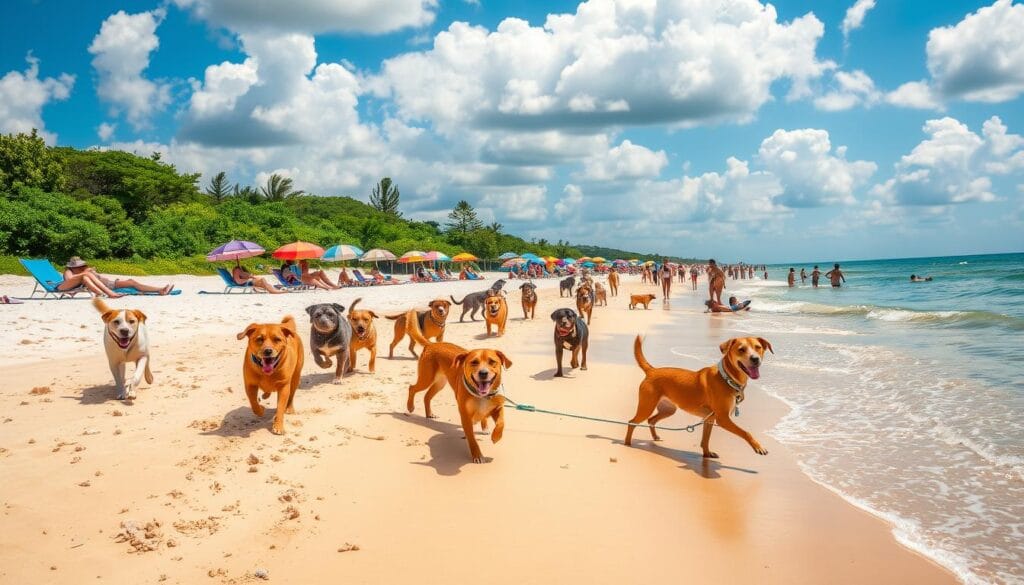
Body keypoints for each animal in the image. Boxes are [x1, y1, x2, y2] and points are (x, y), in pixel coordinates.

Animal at [401, 313, 509, 465]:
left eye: (492, 362)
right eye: (474, 362)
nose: (483, 373)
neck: (482, 396)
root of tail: (432, 344)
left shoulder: (497, 408)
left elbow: (501, 423)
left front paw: (495, 436)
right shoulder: (465, 415)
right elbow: (471, 438)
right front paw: (477, 455)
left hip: (440, 383)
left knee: (427, 396)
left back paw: (430, 414)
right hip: (426, 379)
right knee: (412, 388)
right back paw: (410, 407)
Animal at [622, 336, 774, 461]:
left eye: (758, 347)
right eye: (741, 349)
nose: (755, 359)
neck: (727, 378)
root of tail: (652, 370)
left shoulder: (709, 419)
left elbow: (705, 440)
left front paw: (707, 454)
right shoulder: (722, 419)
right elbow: (746, 432)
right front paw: (758, 447)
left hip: (668, 409)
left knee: (651, 420)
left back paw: (655, 437)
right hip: (647, 406)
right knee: (632, 422)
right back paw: (627, 443)